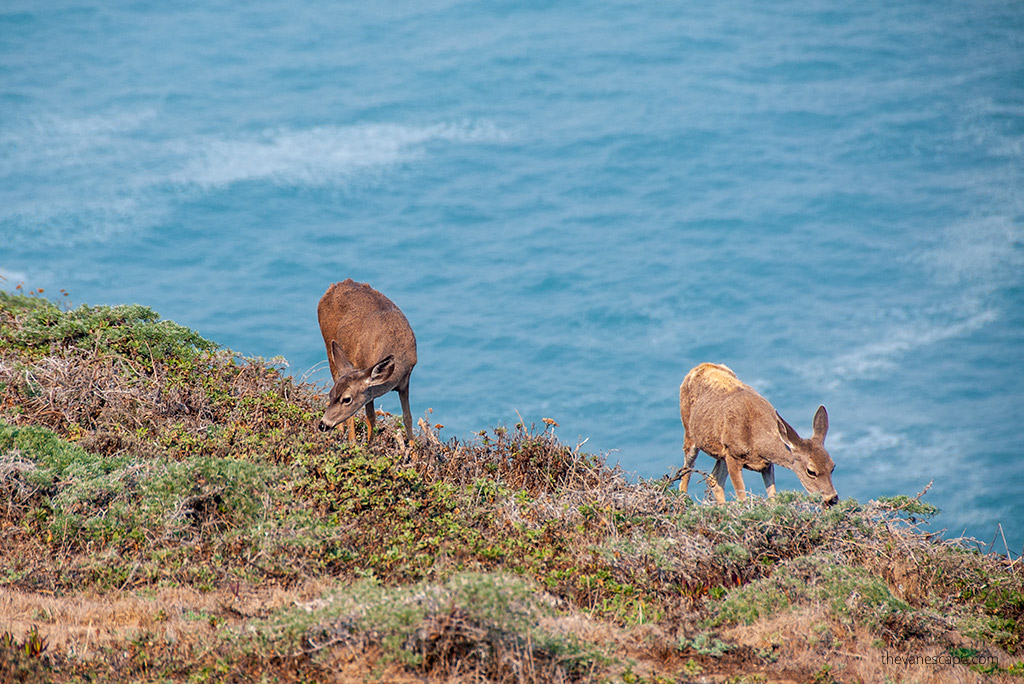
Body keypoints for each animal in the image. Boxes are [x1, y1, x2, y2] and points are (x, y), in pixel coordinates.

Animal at [317, 278, 417, 444]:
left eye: (346, 399)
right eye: (330, 395)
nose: (323, 425)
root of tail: (333, 287)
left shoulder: (405, 380)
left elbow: (408, 418)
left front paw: (412, 448)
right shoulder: (365, 372)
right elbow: (371, 417)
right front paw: (369, 446)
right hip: (329, 347)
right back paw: (348, 439)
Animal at [675, 362, 835, 507]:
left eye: (832, 467)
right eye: (811, 471)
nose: (832, 498)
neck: (757, 441)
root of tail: (700, 366)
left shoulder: (766, 464)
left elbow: (773, 497)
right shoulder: (733, 455)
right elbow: (742, 499)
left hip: (721, 453)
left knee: (714, 480)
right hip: (690, 435)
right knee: (685, 475)